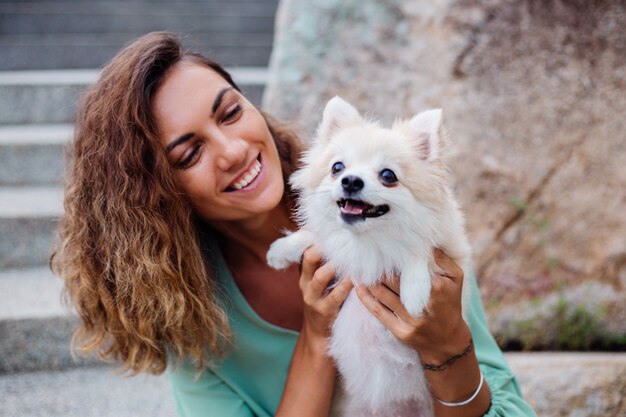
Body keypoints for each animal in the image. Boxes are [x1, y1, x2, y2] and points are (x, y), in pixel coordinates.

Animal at [266, 96, 470, 416]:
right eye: (337, 167)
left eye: (388, 175)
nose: (350, 181)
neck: (368, 240)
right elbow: (318, 236)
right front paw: (283, 249)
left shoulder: (451, 247)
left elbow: (419, 248)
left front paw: (414, 292)